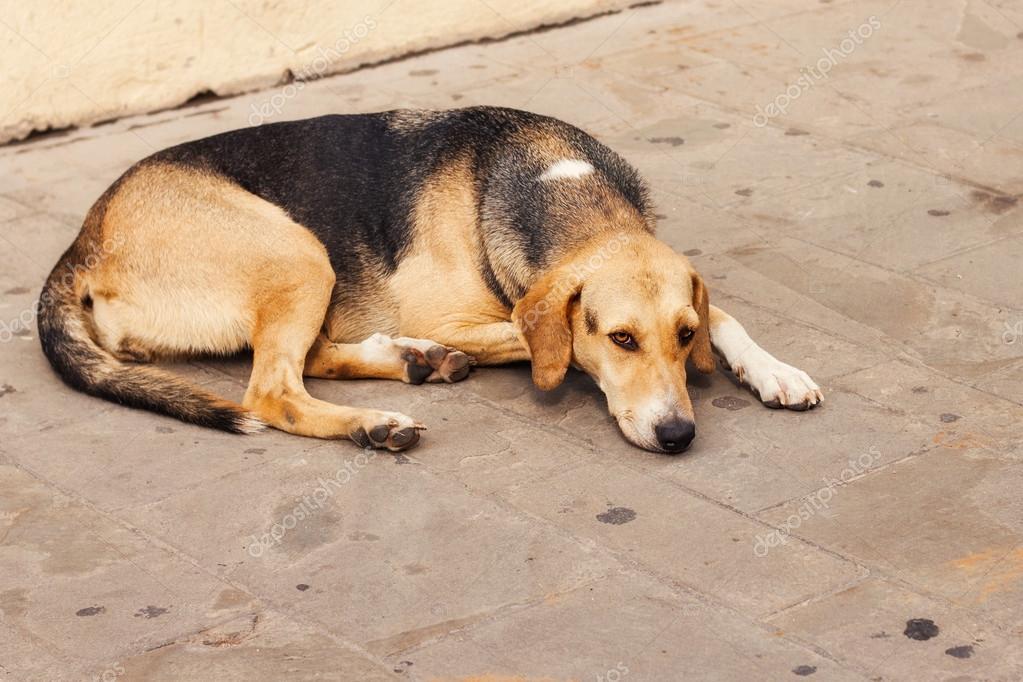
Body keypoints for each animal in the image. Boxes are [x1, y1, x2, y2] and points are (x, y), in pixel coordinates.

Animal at [37, 107, 822, 453]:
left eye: (680, 335)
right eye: (621, 338)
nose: (678, 434)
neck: (555, 181)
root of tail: (87, 236)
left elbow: (725, 317)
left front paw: (774, 369)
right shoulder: (474, 316)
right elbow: (552, 343)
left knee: (310, 359)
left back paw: (410, 363)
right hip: (299, 251)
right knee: (272, 389)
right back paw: (377, 419)